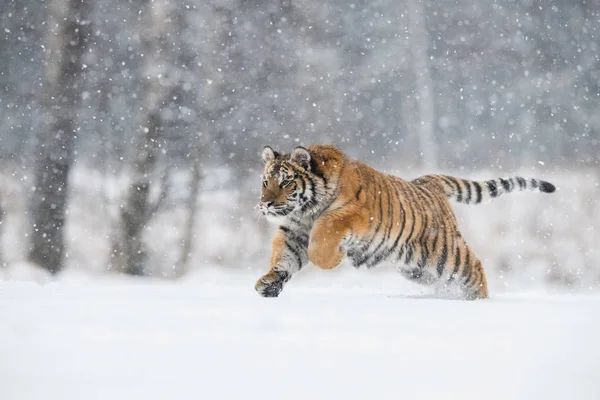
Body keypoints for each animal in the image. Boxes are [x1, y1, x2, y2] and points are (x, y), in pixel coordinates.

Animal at [253, 144, 552, 300]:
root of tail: (428, 183)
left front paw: (334, 259)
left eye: (286, 183)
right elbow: (284, 258)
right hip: (417, 267)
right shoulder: (294, 232)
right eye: (266, 182)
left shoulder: (350, 215)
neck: (306, 210)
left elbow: (322, 242)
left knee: (475, 269)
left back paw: (478, 302)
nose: (265, 204)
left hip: (446, 255)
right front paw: (269, 283)